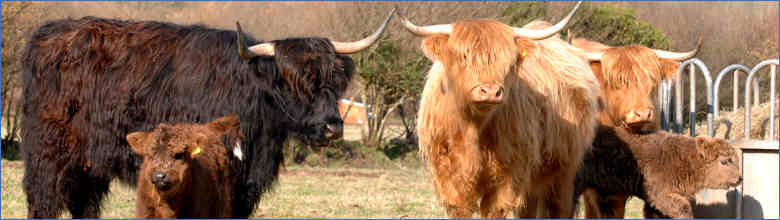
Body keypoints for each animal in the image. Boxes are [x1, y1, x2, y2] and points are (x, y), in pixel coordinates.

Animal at [21, 9, 394, 218]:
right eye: (295, 83)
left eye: (334, 81)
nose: (332, 128)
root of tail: (47, 33)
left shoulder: (244, 185)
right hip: (49, 153)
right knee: (44, 200)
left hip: (90, 163)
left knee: (84, 203)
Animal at [572, 125, 744, 218]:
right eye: (724, 161)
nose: (740, 178)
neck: (683, 159)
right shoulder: (660, 195)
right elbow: (684, 208)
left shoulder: (654, 202)